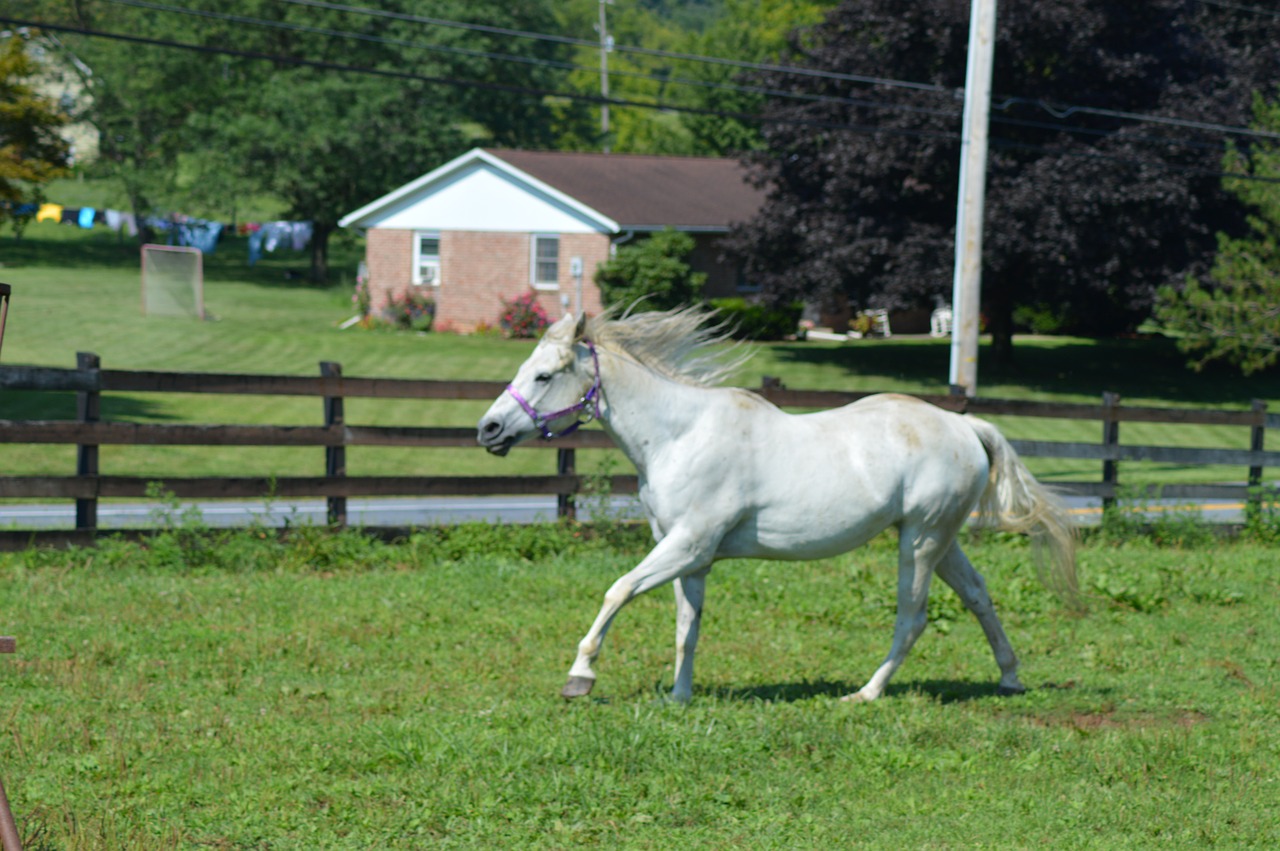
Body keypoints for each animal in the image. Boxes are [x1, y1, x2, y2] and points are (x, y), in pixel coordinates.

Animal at [481, 308, 1080, 701]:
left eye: (544, 375)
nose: (488, 430)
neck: (680, 435)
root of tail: (965, 426)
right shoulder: (690, 556)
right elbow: (686, 624)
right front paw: (678, 696)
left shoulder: (688, 544)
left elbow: (619, 590)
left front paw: (579, 677)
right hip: (941, 538)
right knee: (978, 595)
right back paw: (1010, 677)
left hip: (921, 541)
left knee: (913, 617)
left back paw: (865, 693)